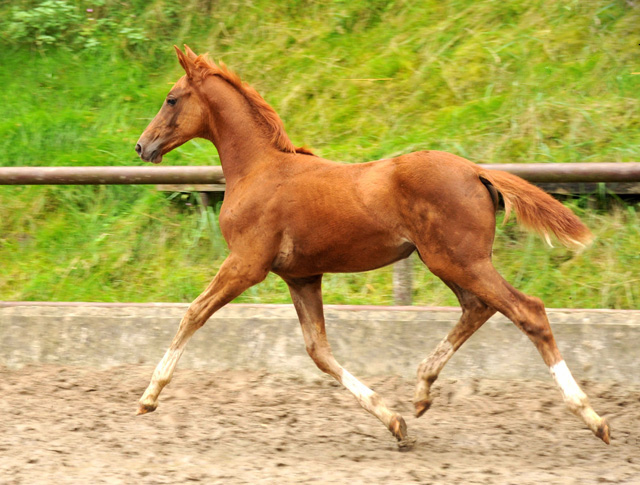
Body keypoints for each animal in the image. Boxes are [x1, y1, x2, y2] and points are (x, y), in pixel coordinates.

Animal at [134, 46, 608, 446]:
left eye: (171, 99)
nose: (142, 146)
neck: (258, 169)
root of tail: (476, 171)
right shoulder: (301, 275)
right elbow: (319, 352)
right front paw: (394, 421)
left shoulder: (246, 263)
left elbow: (193, 313)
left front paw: (149, 396)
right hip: (450, 262)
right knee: (479, 308)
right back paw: (421, 392)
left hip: (460, 260)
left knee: (528, 311)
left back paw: (592, 417)